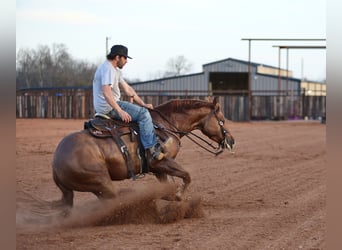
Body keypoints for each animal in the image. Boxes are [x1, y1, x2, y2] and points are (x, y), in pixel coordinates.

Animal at [52, 97, 235, 209]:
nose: (232, 141)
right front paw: (177, 196)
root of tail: (56, 162)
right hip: (102, 183)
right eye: (222, 120)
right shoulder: (161, 162)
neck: (164, 125)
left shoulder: (159, 170)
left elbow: (169, 186)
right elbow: (187, 176)